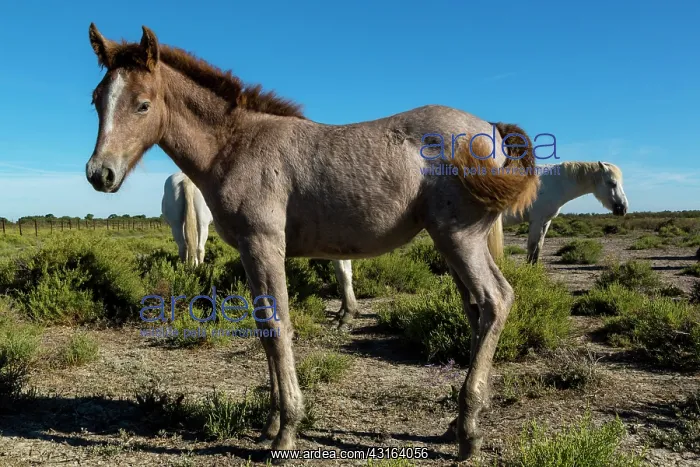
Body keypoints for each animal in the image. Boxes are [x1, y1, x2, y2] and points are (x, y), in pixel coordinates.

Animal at [83, 24, 539, 462]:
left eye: (142, 104)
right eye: (97, 99)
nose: (99, 174)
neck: (236, 144)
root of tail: (493, 129)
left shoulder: (264, 244)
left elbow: (278, 326)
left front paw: (286, 432)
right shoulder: (249, 252)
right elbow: (263, 329)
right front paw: (269, 424)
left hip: (460, 238)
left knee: (497, 300)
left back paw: (468, 433)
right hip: (452, 244)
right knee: (477, 312)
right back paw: (455, 425)